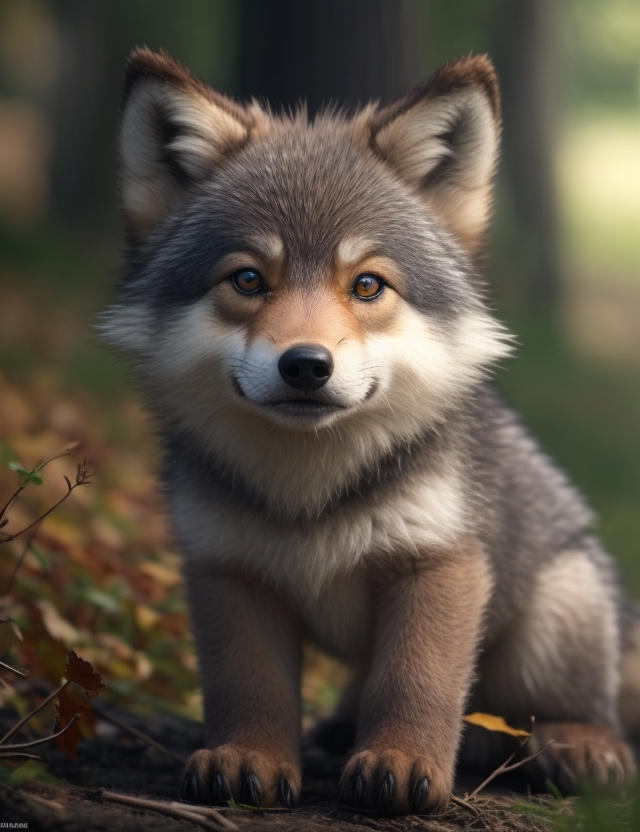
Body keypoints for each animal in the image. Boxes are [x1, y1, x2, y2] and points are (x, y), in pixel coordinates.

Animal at [101, 47, 639, 813]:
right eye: (247, 279)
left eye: (367, 286)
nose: (305, 365)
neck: (308, 492)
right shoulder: (227, 572)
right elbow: (249, 688)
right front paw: (249, 758)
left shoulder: (438, 564)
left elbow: (414, 681)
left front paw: (403, 762)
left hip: (557, 611)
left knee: (580, 714)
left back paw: (579, 745)